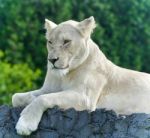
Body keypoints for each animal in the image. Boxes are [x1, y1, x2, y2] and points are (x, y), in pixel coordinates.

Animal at [12, 16, 150, 135]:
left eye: (66, 41)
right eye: (50, 42)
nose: (52, 60)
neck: (64, 76)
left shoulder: (85, 98)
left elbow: (43, 98)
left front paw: (25, 124)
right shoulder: (47, 89)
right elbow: (16, 97)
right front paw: (28, 99)